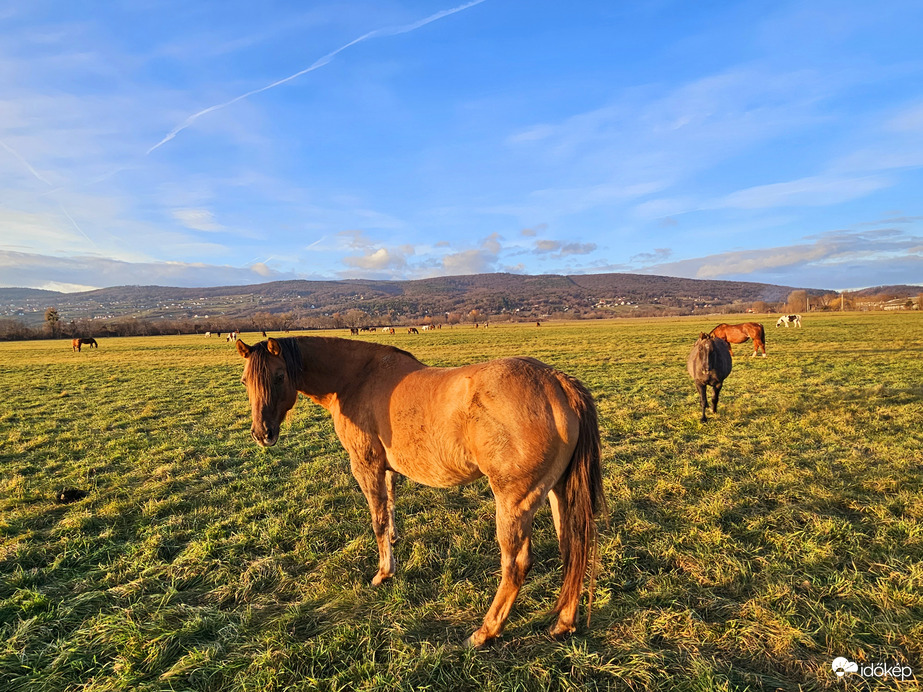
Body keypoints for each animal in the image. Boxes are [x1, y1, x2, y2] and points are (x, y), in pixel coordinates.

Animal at [236, 336, 608, 648]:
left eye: (279, 376)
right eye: (244, 381)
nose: (261, 433)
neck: (355, 377)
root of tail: (556, 384)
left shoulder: (365, 467)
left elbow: (377, 521)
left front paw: (384, 572)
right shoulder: (387, 470)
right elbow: (389, 509)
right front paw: (394, 546)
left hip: (514, 502)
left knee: (516, 565)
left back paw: (485, 632)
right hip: (559, 493)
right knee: (574, 548)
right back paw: (563, 622)